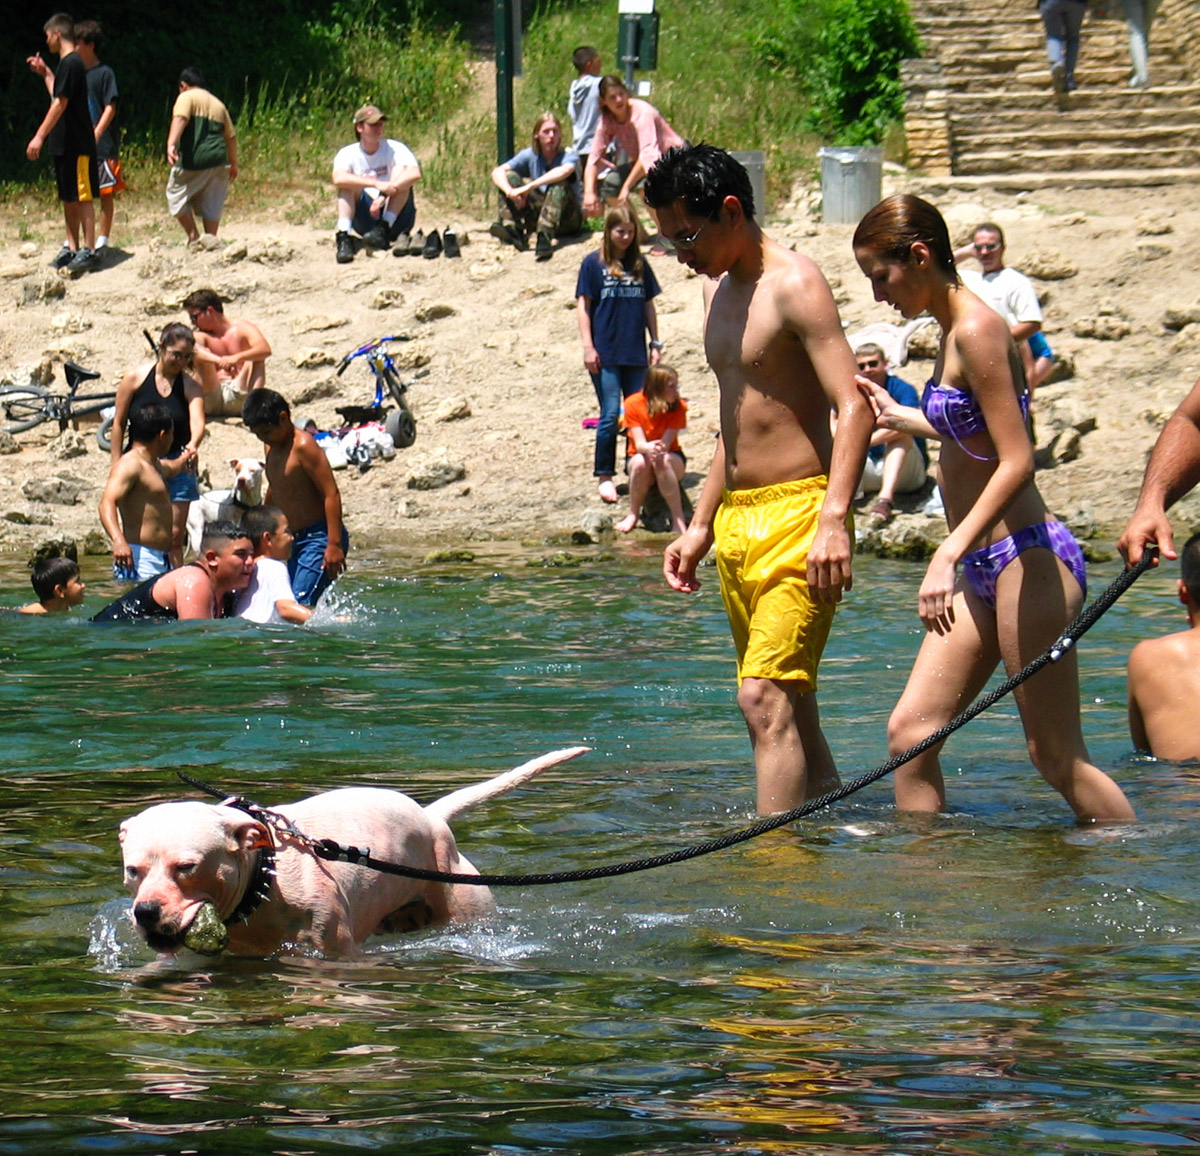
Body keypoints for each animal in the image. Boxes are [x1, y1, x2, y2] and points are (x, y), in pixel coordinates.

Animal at [119, 744, 588, 965]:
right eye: (132, 871)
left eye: (187, 867)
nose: (145, 912)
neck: (263, 883)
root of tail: (431, 815)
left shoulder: (336, 954)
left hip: (467, 909)